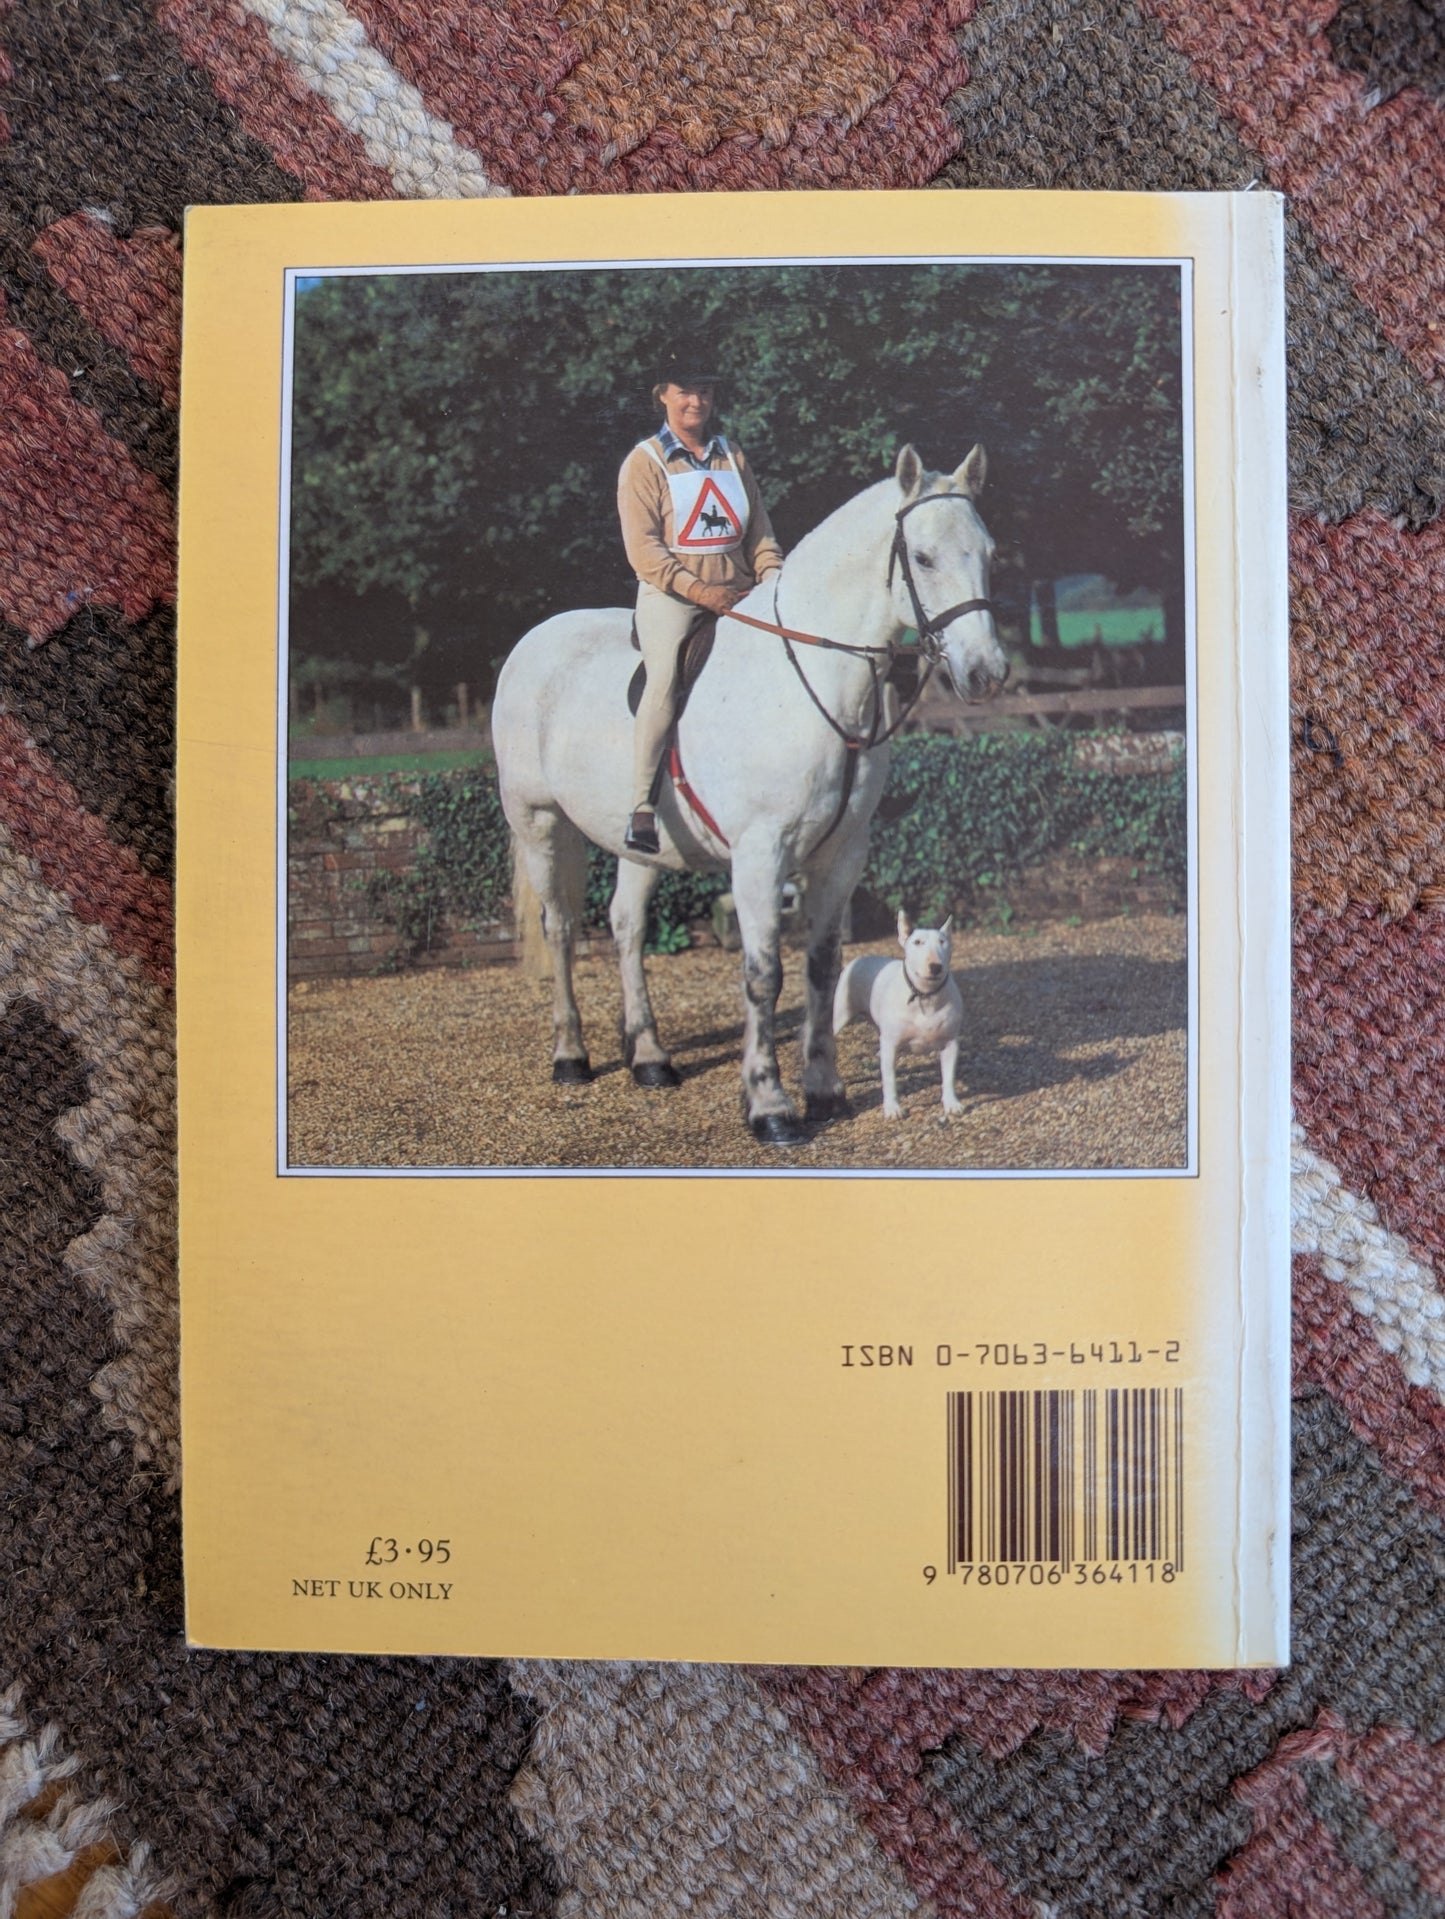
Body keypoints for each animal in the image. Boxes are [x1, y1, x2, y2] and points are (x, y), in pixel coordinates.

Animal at [492, 442, 1009, 1147]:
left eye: (988, 552)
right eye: (923, 558)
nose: (987, 673)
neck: (811, 678)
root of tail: (531, 643)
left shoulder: (841, 855)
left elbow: (822, 967)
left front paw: (825, 1091)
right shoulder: (761, 857)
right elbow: (764, 976)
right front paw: (769, 1107)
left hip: (639, 844)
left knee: (626, 927)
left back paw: (649, 1057)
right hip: (539, 823)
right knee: (563, 929)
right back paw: (570, 1055)